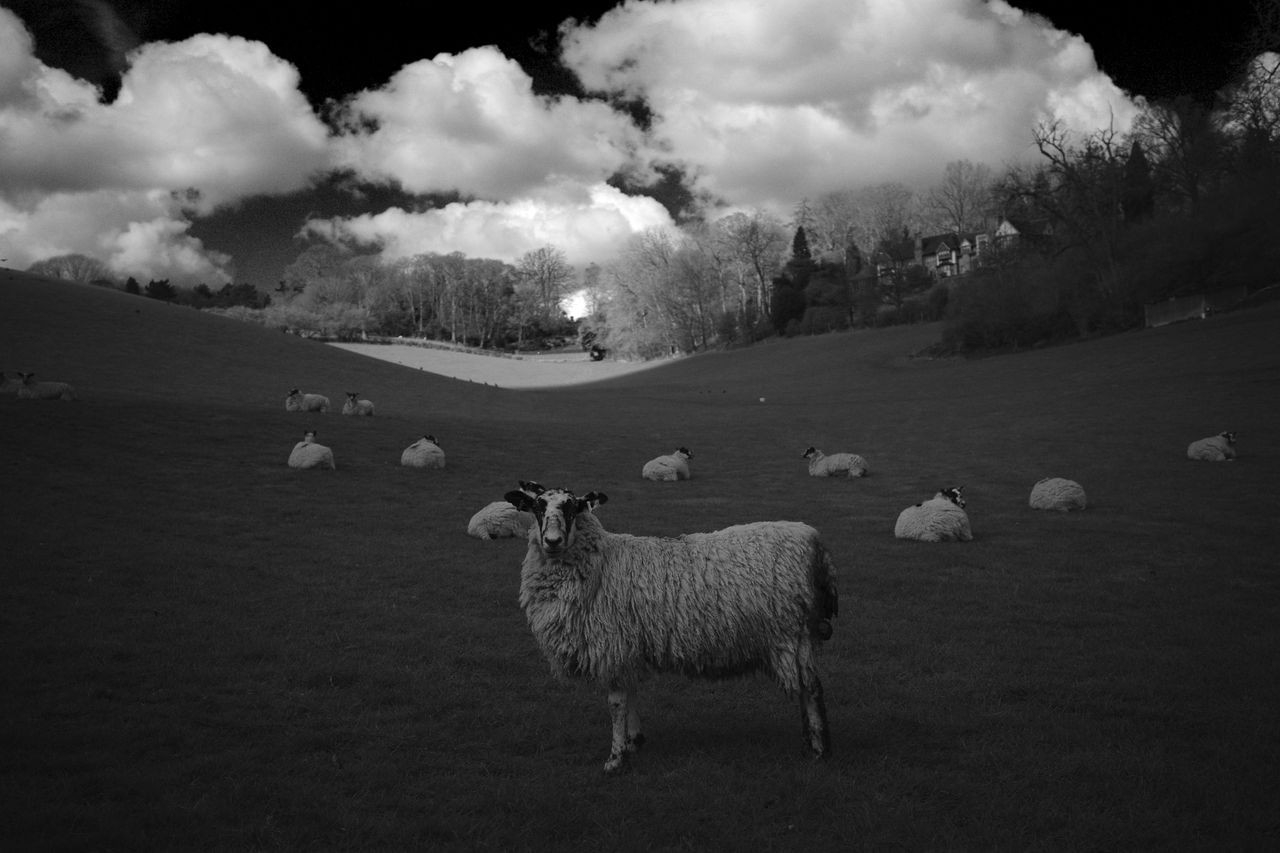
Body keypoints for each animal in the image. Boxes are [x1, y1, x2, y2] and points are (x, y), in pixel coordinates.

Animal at [504, 483, 839, 774]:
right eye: (537, 507)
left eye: (573, 507)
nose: (552, 541)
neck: (601, 561)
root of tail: (814, 543)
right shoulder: (626, 647)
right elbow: (630, 693)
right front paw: (634, 741)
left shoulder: (611, 644)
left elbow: (616, 703)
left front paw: (615, 758)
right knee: (805, 687)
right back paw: (808, 740)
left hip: (792, 633)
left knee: (811, 688)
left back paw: (819, 748)